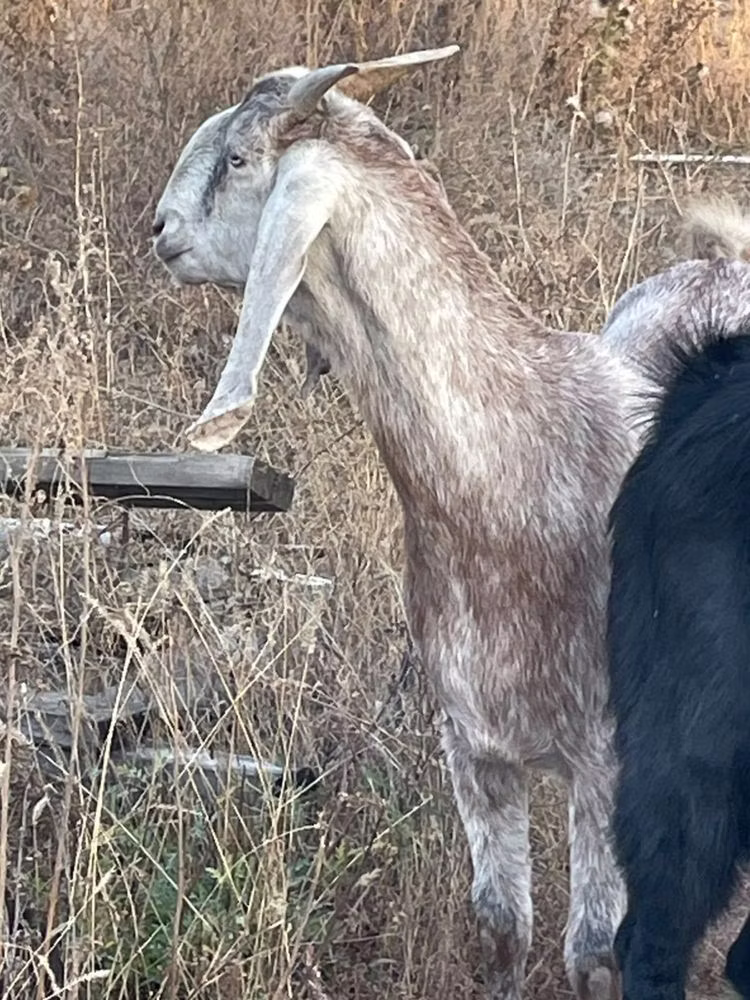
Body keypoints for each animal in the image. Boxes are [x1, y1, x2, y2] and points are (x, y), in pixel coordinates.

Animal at [151, 46, 654, 1000]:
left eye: (237, 159)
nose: (157, 229)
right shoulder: (473, 744)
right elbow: (500, 927)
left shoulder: (611, 759)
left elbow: (594, 953)